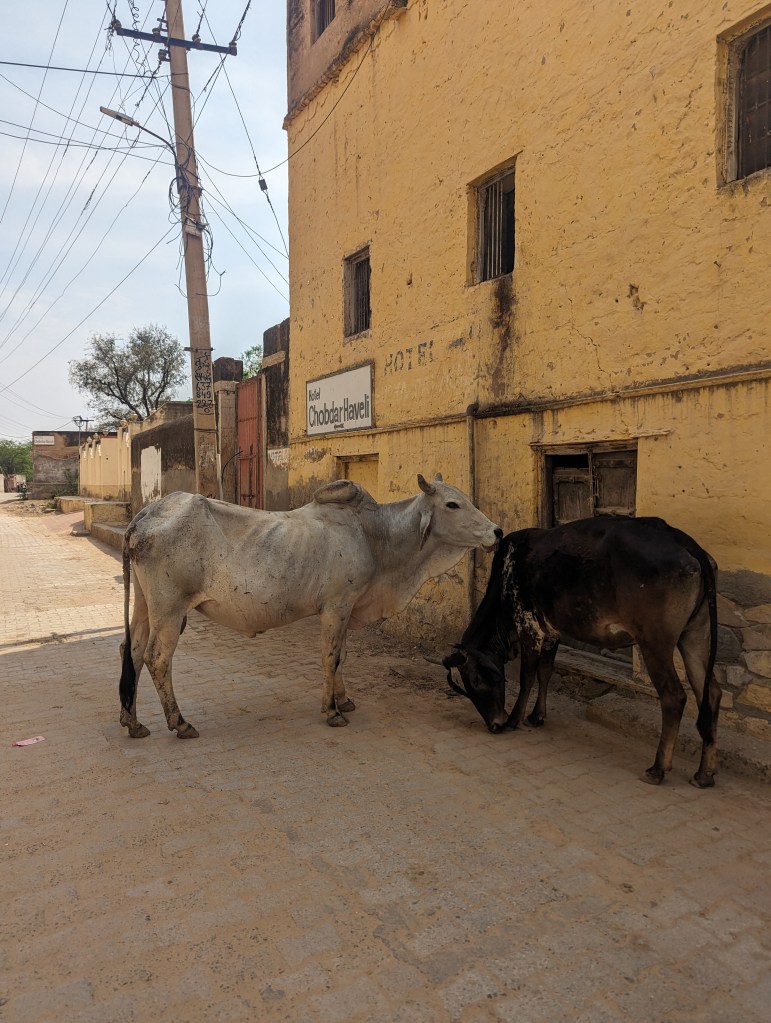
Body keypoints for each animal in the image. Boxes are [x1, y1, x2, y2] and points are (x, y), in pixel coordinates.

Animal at [119, 473, 502, 738]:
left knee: (131, 649)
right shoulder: (337, 606)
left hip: (144, 605)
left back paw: (132, 721)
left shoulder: (347, 609)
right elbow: (331, 657)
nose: (496, 532)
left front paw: (343, 699)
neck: (373, 534)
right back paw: (180, 723)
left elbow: (342, 656)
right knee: (156, 658)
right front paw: (332, 711)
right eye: (452, 504)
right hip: (170, 611)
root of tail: (144, 516)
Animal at [442, 516, 722, 788]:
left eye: (475, 680)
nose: (495, 725)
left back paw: (658, 769)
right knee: (711, 693)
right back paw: (704, 774)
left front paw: (514, 719)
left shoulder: (529, 627)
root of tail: (677, 536)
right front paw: (536, 716)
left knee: (674, 697)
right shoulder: (551, 632)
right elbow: (545, 673)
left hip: (655, 643)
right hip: (695, 635)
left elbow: (527, 677)